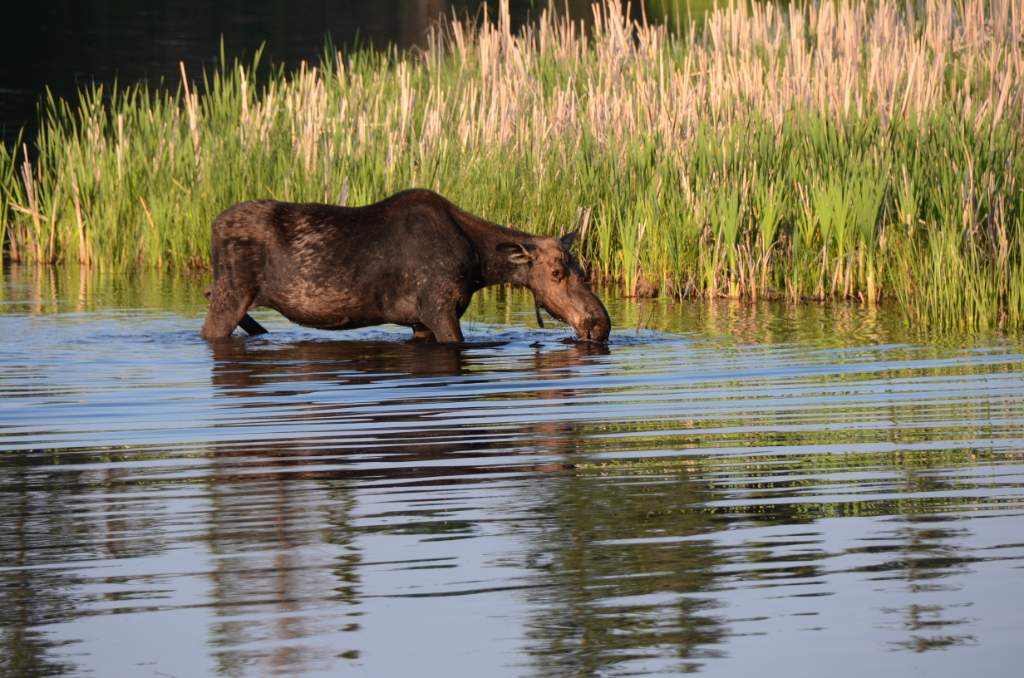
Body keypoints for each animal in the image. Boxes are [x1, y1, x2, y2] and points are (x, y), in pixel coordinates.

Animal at [203, 187, 610, 342]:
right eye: (556, 273)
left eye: (583, 270)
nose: (599, 324)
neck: (480, 266)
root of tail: (213, 224)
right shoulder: (439, 309)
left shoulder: (419, 321)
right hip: (231, 294)